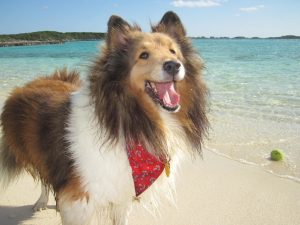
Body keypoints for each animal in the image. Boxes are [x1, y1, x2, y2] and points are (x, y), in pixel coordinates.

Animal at [0, 11, 207, 225]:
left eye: (173, 51)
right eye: (143, 55)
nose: (174, 65)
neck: (127, 122)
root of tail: (31, 83)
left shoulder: (121, 194)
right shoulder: (79, 201)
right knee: (44, 179)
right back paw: (41, 201)